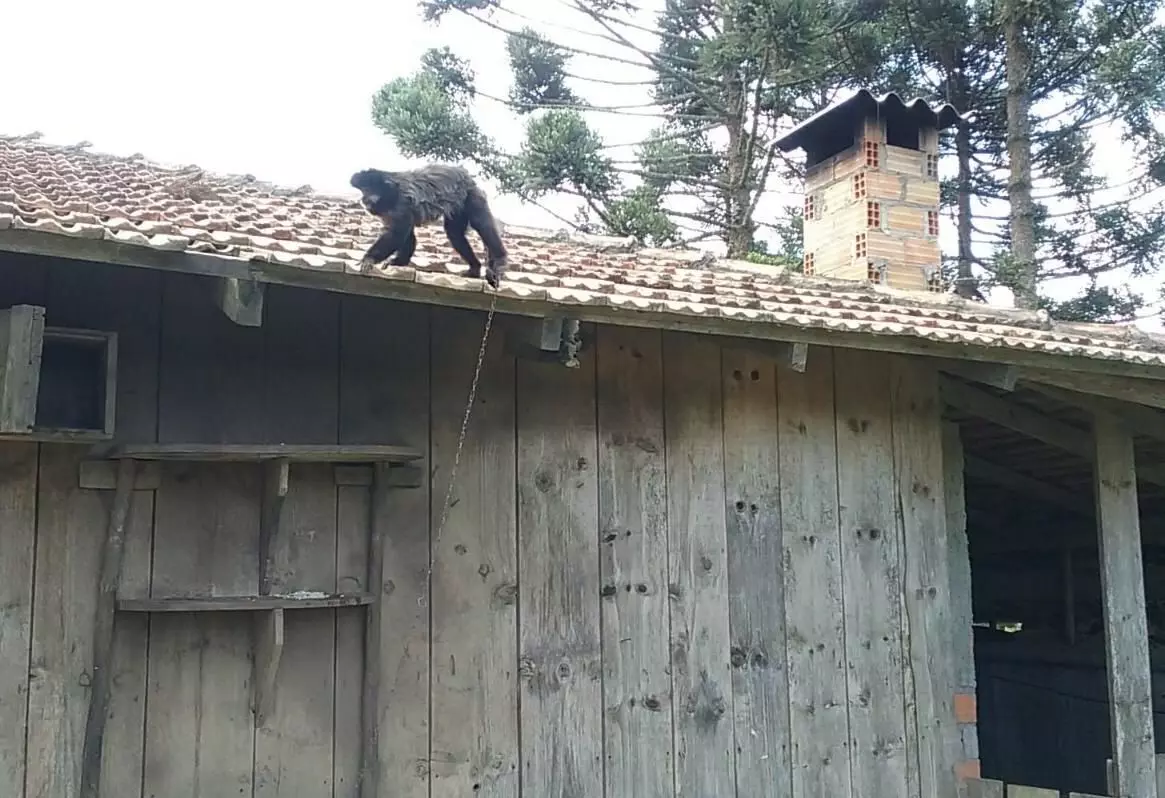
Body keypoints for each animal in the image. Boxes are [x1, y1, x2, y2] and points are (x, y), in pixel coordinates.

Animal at [347, 164, 507, 286]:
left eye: (367, 191)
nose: (363, 199)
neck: (390, 192)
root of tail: (469, 178)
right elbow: (407, 236)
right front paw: (399, 262)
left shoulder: (401, 204)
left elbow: (396, 234)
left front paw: (369, 259)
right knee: (454, 233)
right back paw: (474, 268)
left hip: (471, 194)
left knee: (482, 224)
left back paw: (499, 261)